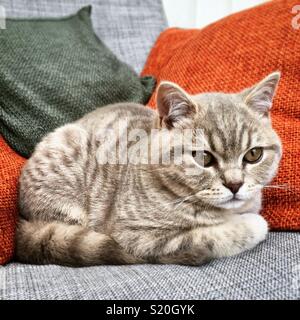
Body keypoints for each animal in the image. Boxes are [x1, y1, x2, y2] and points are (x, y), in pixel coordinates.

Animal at [15, 72, 282, 268]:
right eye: (203, 157)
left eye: (254, 154)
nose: (235, 184)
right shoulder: (141, 239)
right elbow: (213, 236)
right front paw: (253, 224)